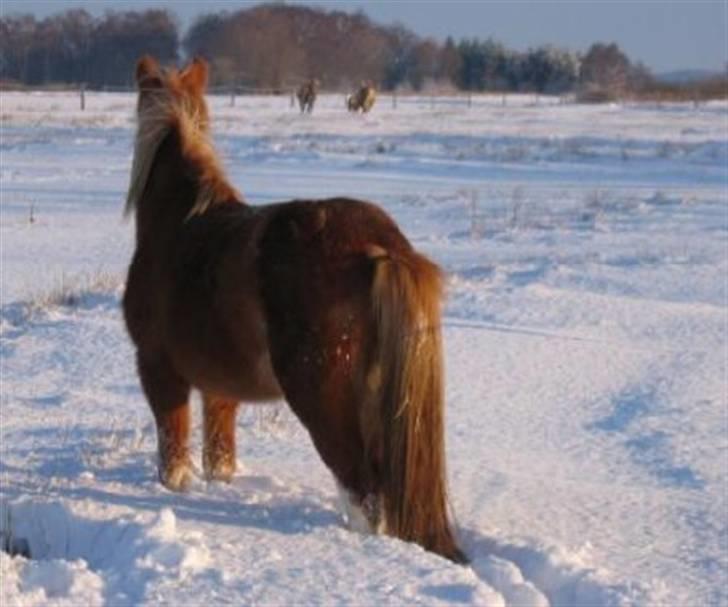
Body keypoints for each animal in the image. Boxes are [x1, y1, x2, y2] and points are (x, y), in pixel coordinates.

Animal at [122, 56, 465, 564]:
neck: (178, 225)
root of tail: (380, 245)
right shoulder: (220, 390)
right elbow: (219, 457)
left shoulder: (160, 370)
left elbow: (173, 457)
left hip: (321, 399)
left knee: (363, 490)